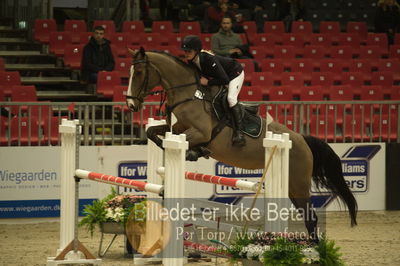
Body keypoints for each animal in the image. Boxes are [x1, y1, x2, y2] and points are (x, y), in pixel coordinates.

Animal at [125, 47, 356, 239]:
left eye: (139, 73)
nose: (130, 105)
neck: (189, 95)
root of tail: (300, 138)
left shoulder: (200, 132)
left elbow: (187, 141)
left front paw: (195, 152)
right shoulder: (176, 127)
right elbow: (152, 132)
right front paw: (183, 150)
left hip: (298, 184)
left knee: (311, 217)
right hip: (291, 186)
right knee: (308, 216)